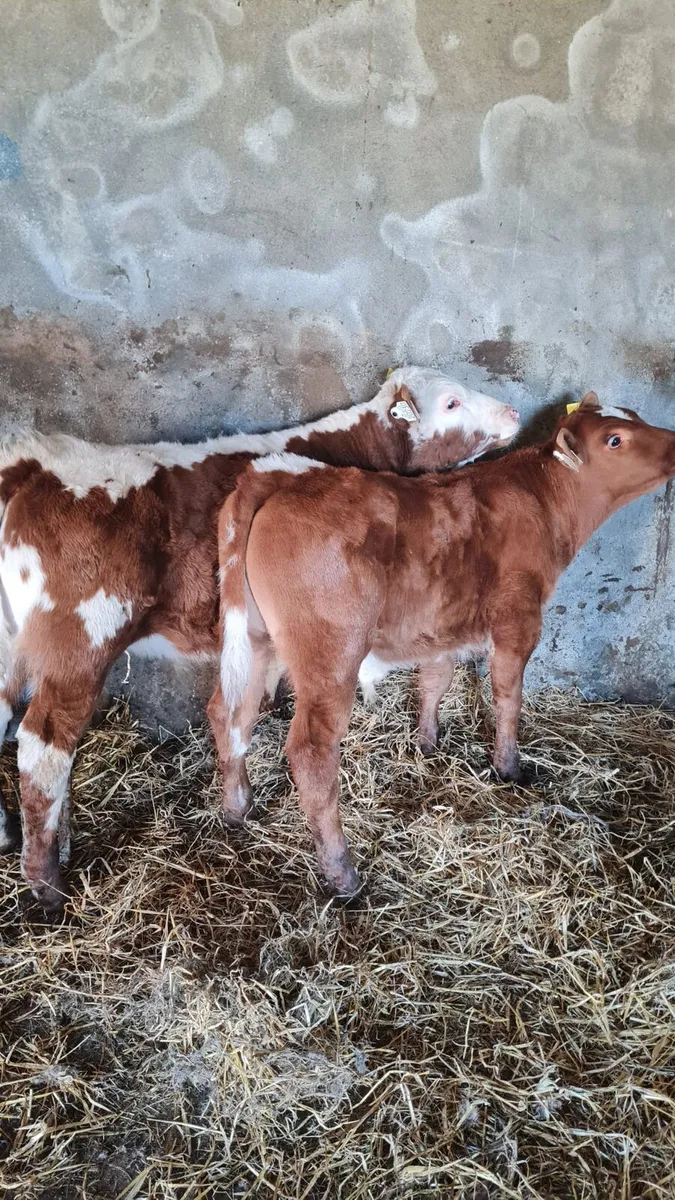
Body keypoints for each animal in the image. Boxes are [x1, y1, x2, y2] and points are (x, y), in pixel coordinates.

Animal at [0, 367, 519, 911]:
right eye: (452, 402)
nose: (513, 412)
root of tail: (33, 463)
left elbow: (240, 712)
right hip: (80, 638)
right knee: (42, 747)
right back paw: (47, 886)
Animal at [215, 391, 675, 896]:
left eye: (635, 416)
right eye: (615, 439)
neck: (541, 499)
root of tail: (278, 475)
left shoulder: (438, 626)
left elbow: (435, 681)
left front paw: (427, 745)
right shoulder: (518, 620)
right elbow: (508, 698)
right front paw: (508, 768)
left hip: (253, 639)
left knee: (229, 714)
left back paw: (237, 810)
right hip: (329, 653)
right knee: (311, 752)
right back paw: (343, 874)